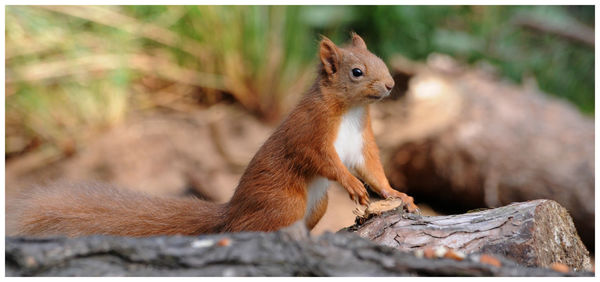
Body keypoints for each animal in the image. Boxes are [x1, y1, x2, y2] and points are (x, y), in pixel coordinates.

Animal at [12, 32, 418, 237]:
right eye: (356, 72)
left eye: (381, 61)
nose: (391, 84)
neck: (350, 113)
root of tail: (230, 214)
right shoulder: (310, 130)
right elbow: (320, 159)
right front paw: (352, 186)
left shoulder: (361, 144)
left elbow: (375, 171)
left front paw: (397, 194)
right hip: (285, 202)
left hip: (314, 206)